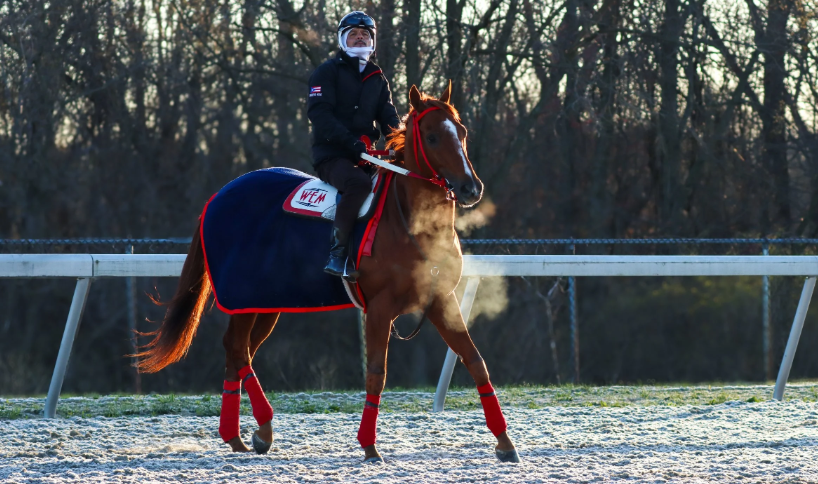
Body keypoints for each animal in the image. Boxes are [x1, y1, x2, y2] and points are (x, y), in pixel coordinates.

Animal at [133, 82, 520, 464]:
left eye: (462, 132)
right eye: (433, 136)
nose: (471, 187)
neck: (408, 221)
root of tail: (218, 197)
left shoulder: (442, 301)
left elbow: (476, 362)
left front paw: (504, 442)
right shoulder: (379, 309)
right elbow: (376, 374)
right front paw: (369, 445)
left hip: (264, 302)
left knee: (238, 351)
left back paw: (237, 436)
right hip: (244, 296)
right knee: (238, 349)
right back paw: (264, 427)